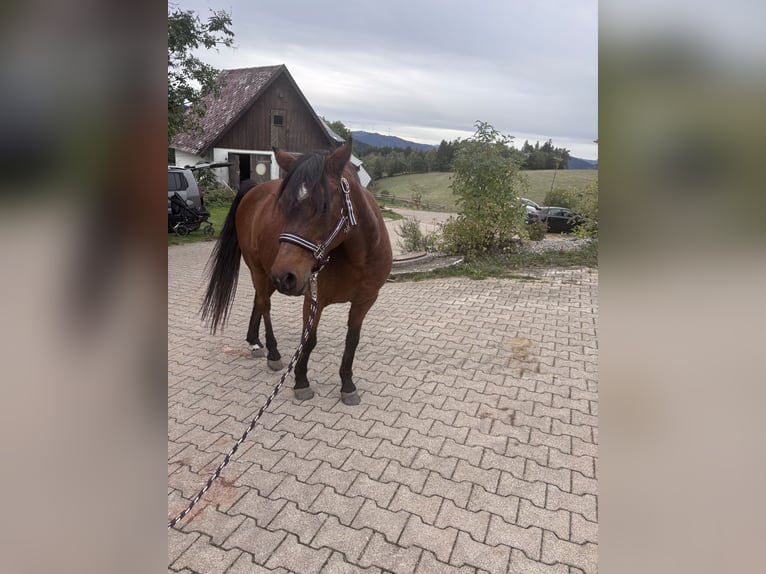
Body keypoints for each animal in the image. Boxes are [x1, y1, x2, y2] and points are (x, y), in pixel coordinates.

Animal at [201, 140, 392, 405]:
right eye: (282, 207)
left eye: (325, 207)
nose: (286, 276)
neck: (359, 258)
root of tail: (253, 191)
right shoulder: (314, 298)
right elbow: (309, 340)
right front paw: (301, 381)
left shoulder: (365, 301)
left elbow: (352, 340)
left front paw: (347, 384)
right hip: (260, 271)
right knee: (264, 305)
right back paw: (272, 352)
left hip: (268, 277)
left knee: (259, 301)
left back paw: (254, 341)